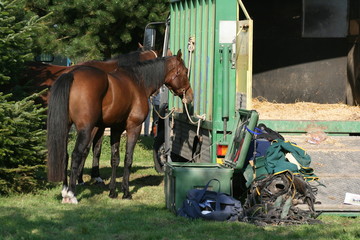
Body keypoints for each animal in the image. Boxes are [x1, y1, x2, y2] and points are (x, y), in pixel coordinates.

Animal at [26, 48, 158, 185]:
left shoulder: (100, 126)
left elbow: (97, 149)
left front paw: (94, 176)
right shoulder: (92, 126)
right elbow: (86, 149)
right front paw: (79, 178)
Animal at [47, 49, 194, 203]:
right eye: (185, 71)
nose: (190, 96)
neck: (138, 82)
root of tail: (71, 75)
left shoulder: (116, 129)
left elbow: (115, 159)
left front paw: (112, 191)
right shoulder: (134, 128)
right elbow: (128, 159)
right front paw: (126, 192)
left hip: (66, 128)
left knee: (64, 154)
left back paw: (64, 190)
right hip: (86, 130)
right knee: (76, 154)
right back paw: (71, 194)